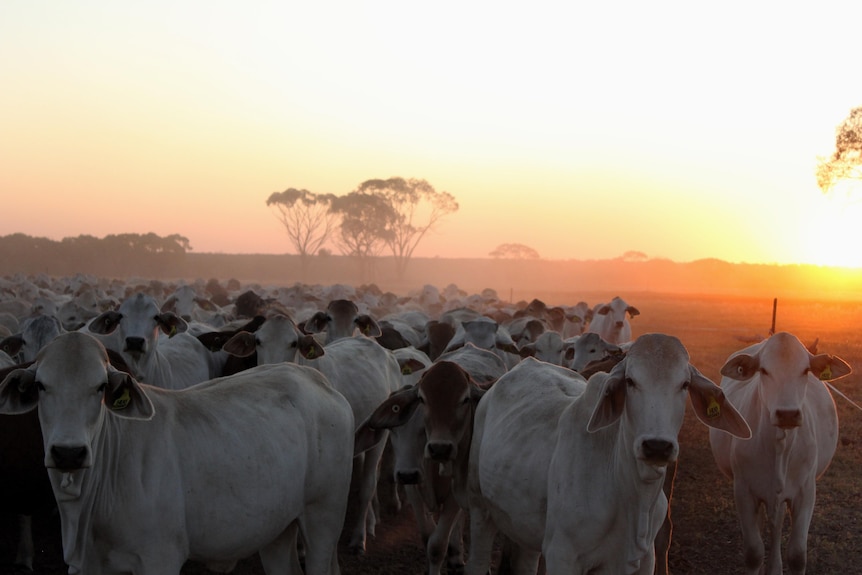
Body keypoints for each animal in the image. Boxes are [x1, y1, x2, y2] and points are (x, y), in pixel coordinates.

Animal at [0, 332, 354, 575]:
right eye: (41, 386)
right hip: (277, 528)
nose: (68, 453)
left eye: (100, 387)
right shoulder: (88, 565)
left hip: (324, 515)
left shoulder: (160, 558)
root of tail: (317, 379)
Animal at [462, 336, 752, 572]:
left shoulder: (643, 560)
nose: (657, 446)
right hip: (479, 508)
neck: (631, 495)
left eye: (684, 384)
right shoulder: (561, 556)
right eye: (630, 381)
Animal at [708, 332, 856, 575]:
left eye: (805, 370)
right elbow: (753, 553)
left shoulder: (806, 492)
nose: (787, 414)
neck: (780, 445)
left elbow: (797, 556)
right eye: (764, 370)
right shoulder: (743, 490)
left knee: (776, 524)